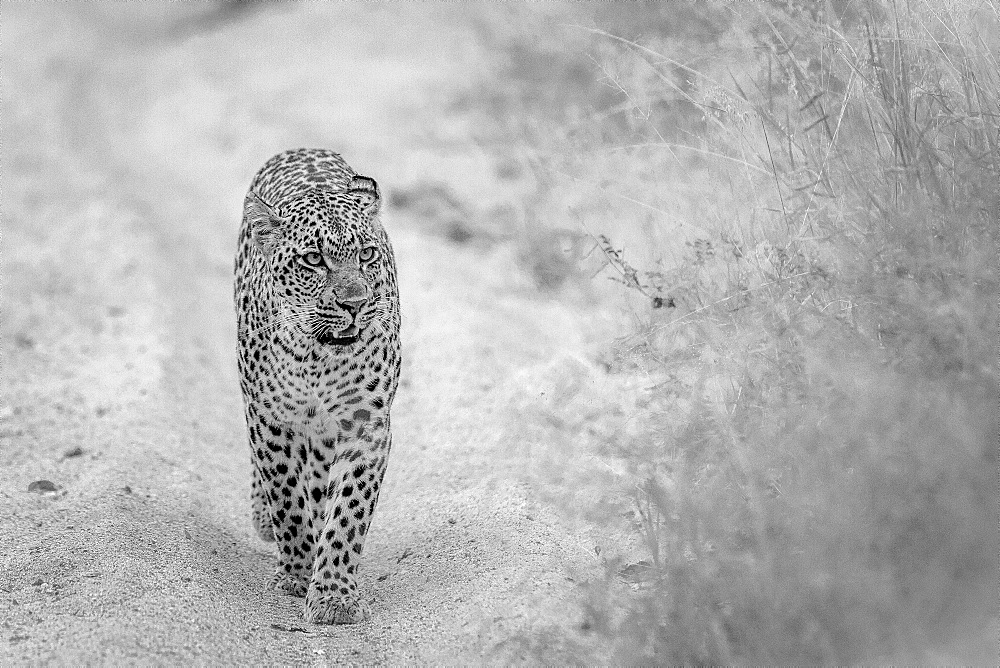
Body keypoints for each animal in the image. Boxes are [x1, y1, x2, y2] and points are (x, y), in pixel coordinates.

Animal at [234, 149, 402, 624]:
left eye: (367, 254)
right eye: (313, 260)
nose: (355, 303)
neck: (318, 357)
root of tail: (303, 149)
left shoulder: (366, 424)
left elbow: (349, 511)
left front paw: (333, 595)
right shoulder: (270, 417)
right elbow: (285, 494)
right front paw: (296, 571)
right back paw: (265, 520)